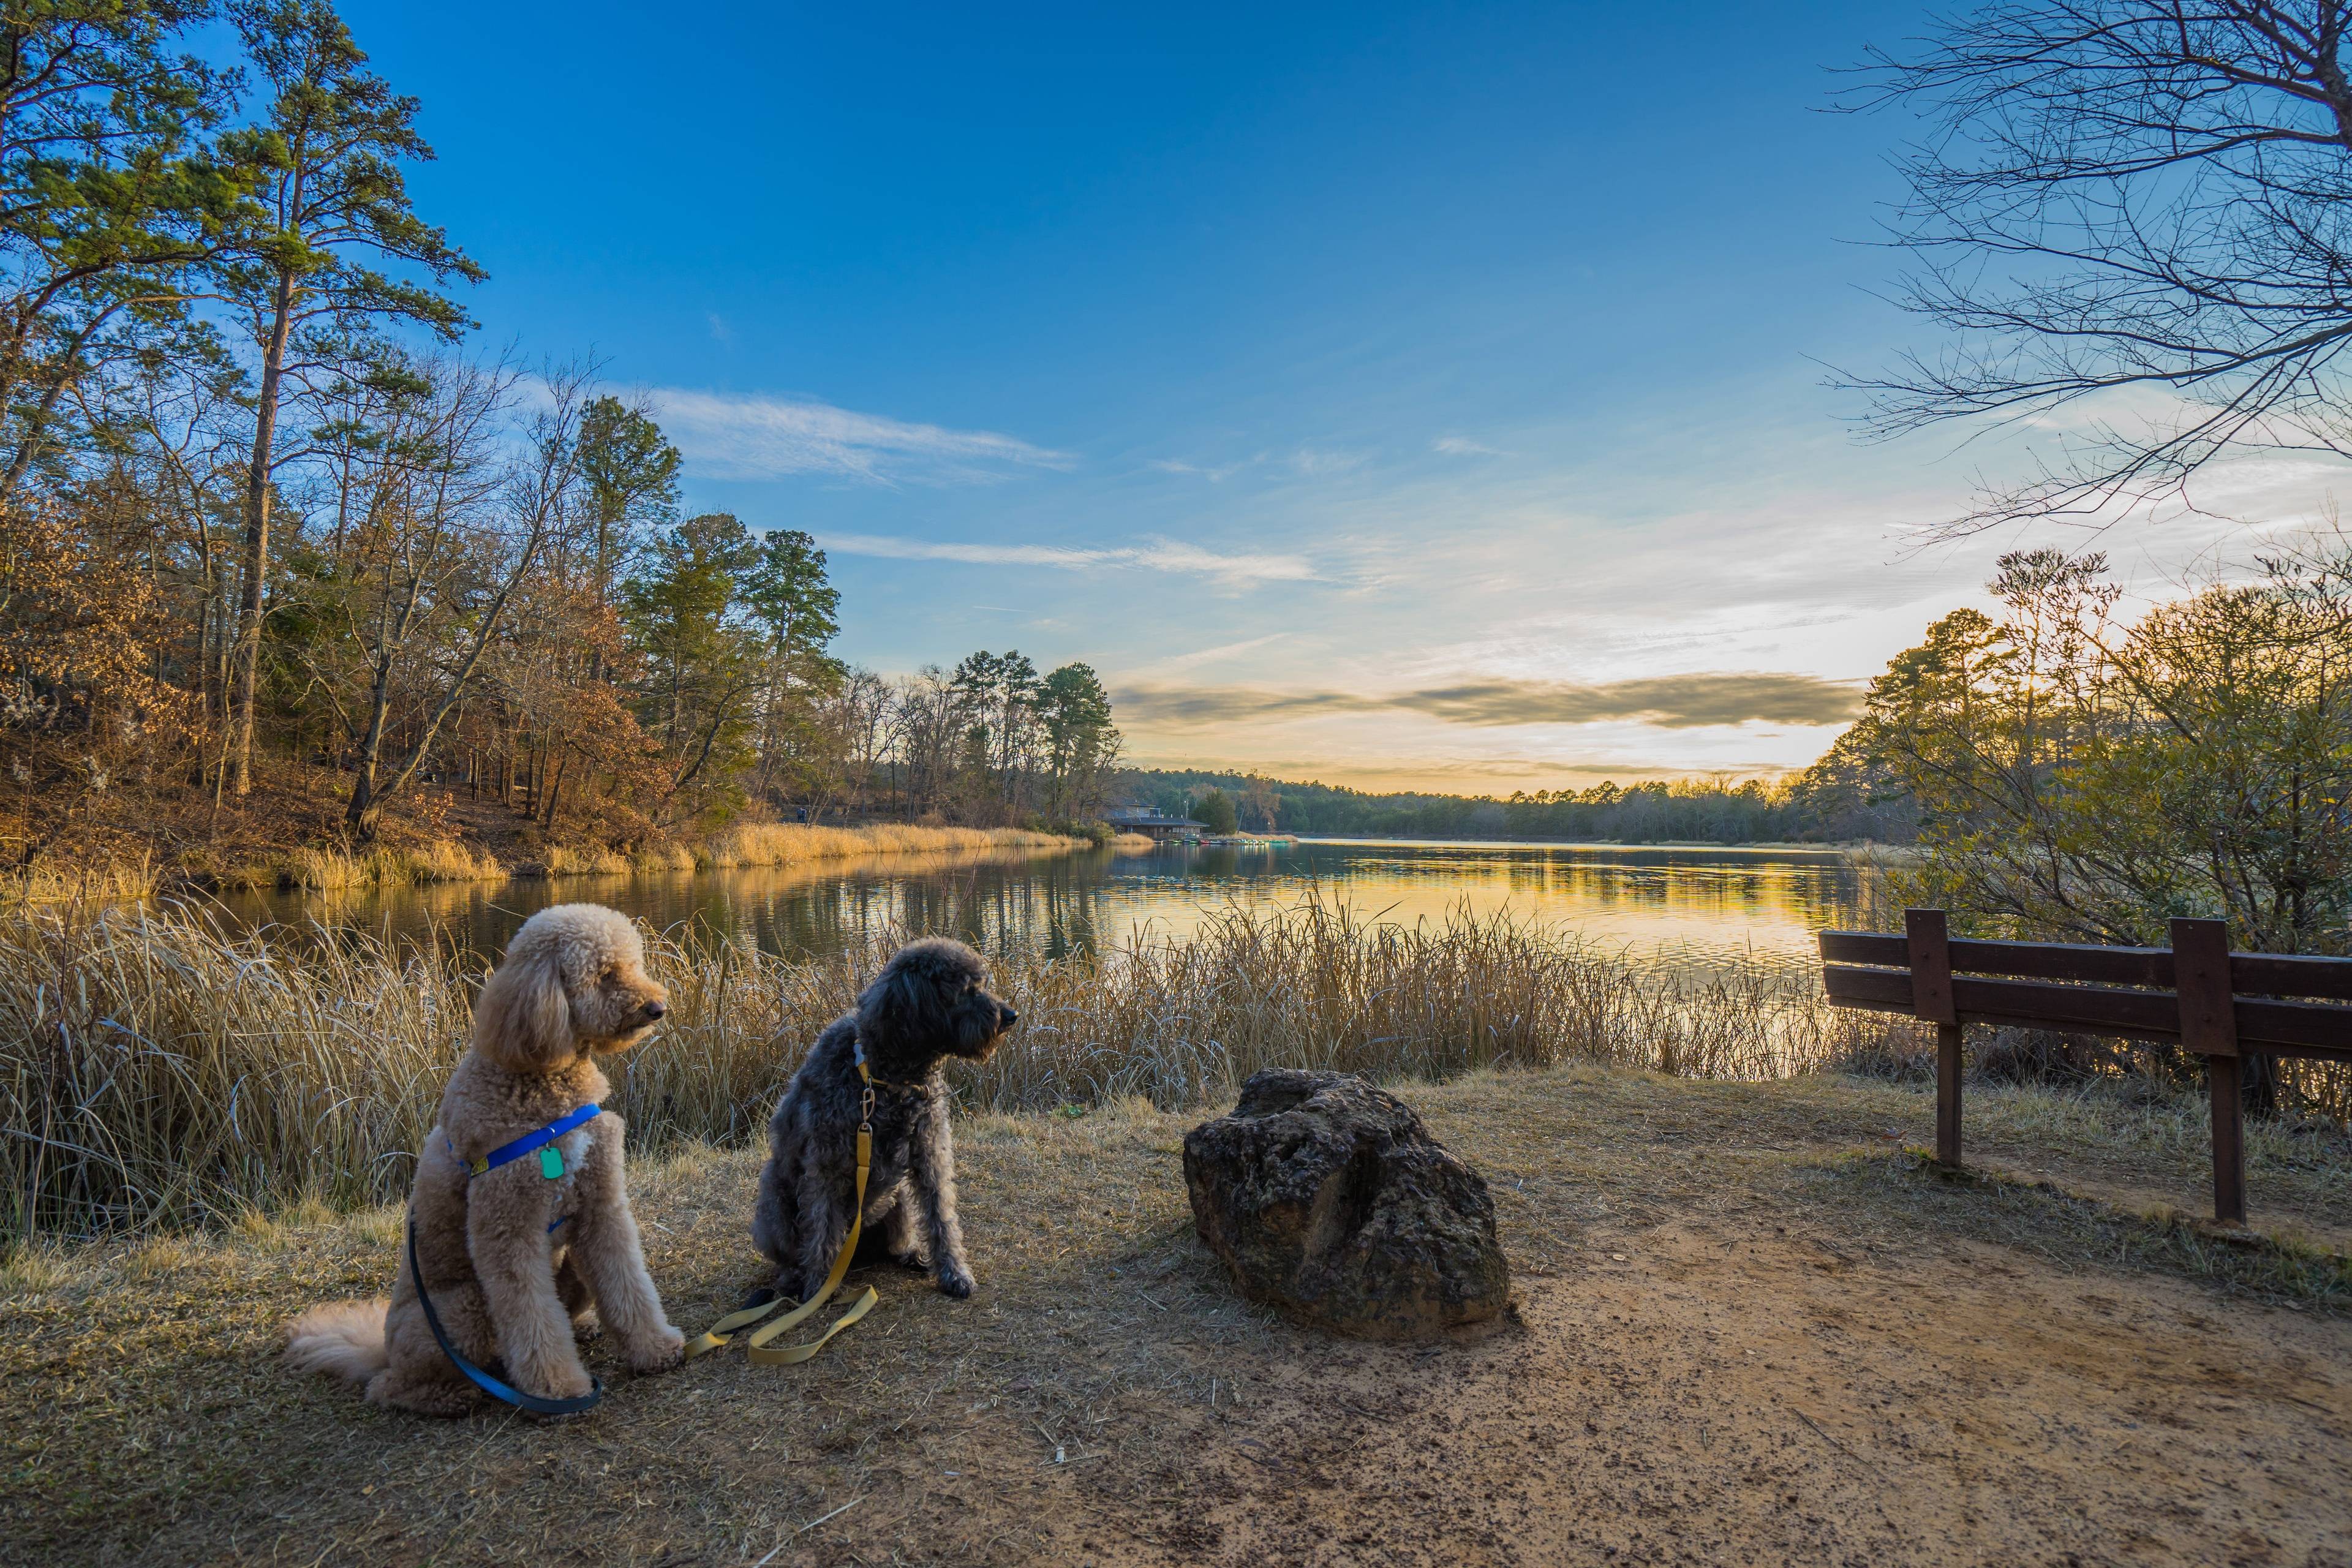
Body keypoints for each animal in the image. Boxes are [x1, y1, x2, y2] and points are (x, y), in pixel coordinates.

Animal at [752, 940, 1011, 1306]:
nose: (1011, 1016)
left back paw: (910, 1254)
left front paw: (954, 1273)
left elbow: (941, 1216)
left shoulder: (930, 1153)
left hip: (896, 1199)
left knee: (892, 1242)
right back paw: (796, 1277)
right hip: (774, 1204)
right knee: (792, 1253)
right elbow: (821, 1227)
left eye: (982, 985)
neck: (883, 1078)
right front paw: (818, 1285)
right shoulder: (826, 1167)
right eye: (965, 991)